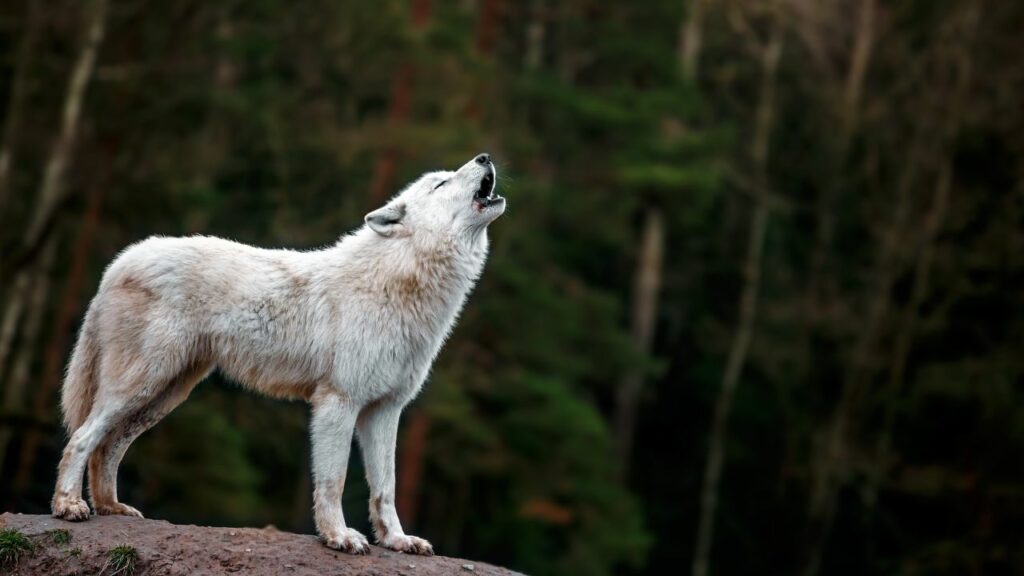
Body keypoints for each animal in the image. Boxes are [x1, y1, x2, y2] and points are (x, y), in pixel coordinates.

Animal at [49, 151, 505, 553]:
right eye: (440, 183)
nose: (485, 157)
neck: (398, 282)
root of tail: (121, 260)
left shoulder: (385, 411)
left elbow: (385, 489)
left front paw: (397, 541)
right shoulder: (337, 403)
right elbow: (334, 481)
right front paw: (338, 537)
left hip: (164, 395)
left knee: (107, 447)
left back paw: (110, 507)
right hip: (141, 384)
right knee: (81, 439)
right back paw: (69, 506)